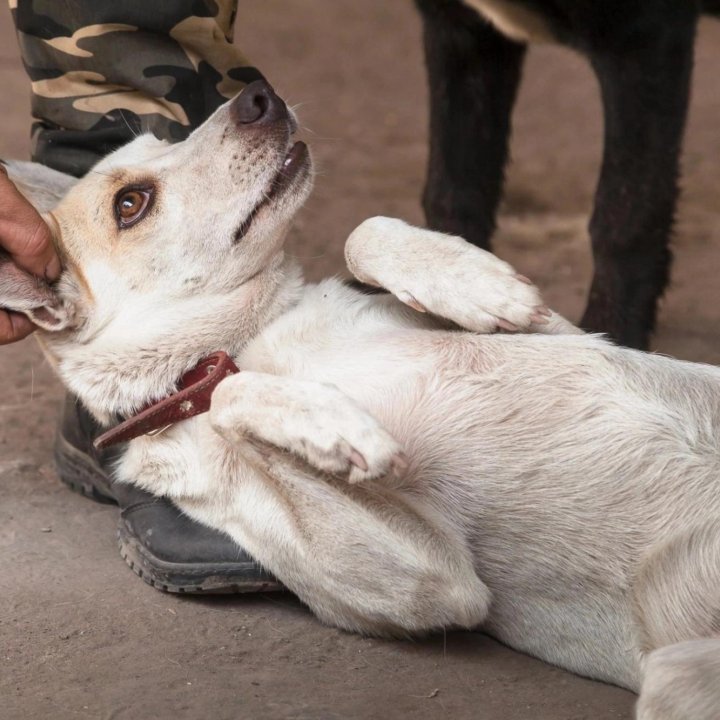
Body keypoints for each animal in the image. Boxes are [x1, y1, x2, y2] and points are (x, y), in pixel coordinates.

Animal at [1, 81, 720, 716]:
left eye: (165, 139)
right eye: (131, 203)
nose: (258, 96)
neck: (259, 335)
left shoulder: (572, 334)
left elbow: (364, 232)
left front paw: (479, 282)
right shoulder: (432, 585)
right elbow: (232, 392)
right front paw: (338, 428)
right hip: (671, 677)